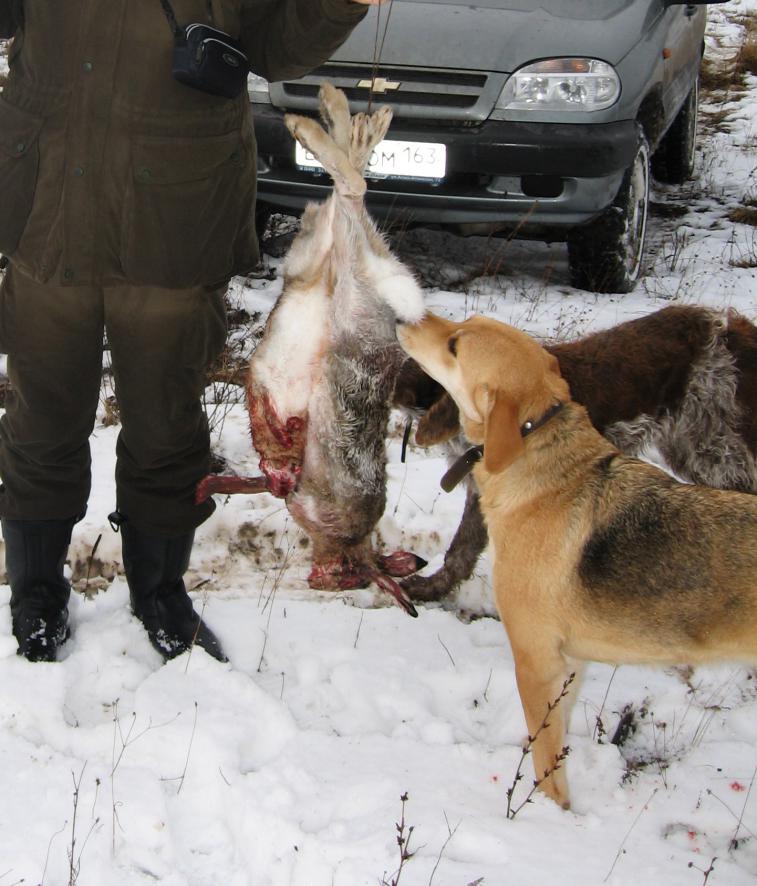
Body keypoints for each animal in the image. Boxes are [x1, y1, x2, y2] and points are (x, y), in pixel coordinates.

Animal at [197, 84, 425, 615]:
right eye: (350, 579)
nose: (329, 579)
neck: (355, 545)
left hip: (316, 261)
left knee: (346, 189)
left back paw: (337, 113)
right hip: (353, 275)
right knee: (352, 188)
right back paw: (332, 119)